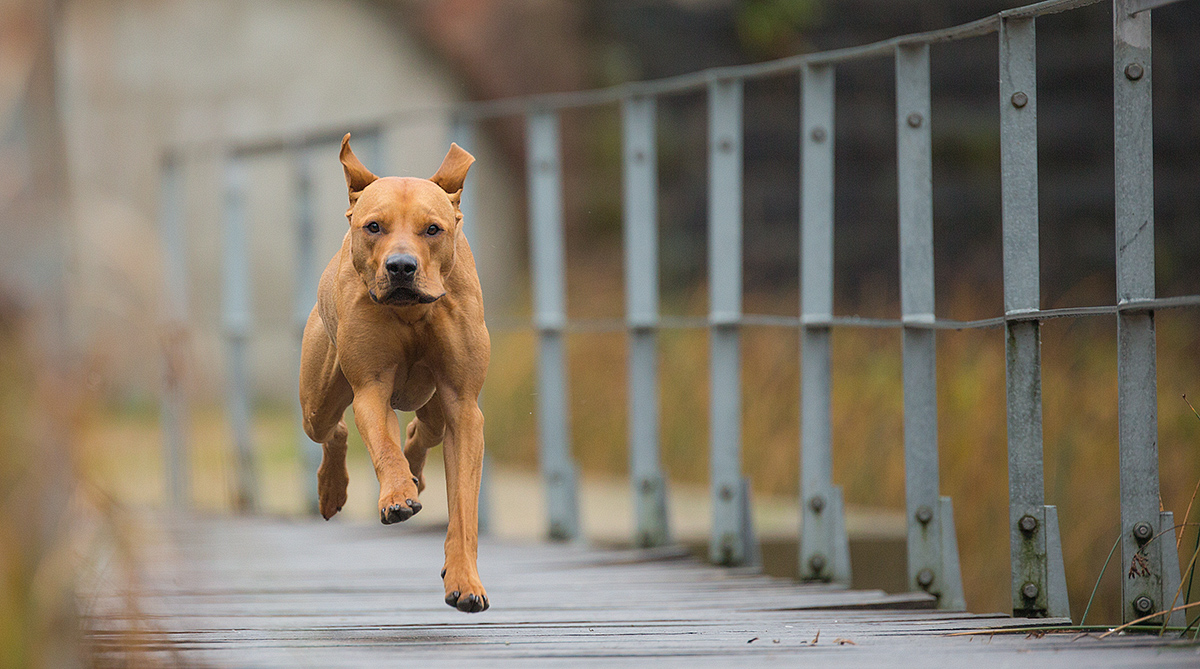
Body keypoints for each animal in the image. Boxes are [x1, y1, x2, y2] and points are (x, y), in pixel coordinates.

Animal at [298, 134, 487, 613]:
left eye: (433, 229)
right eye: (374, 227)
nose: (401, 267)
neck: (411, 311)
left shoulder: (463, 403)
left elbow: (464, 505)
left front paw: (465, 580)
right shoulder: (370, 387)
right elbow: (383, 446)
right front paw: (398, 495)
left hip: (435, 404)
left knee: (422, 431)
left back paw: (417, 473)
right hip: (318, 399)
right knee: (333, 429)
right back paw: (335, 488)